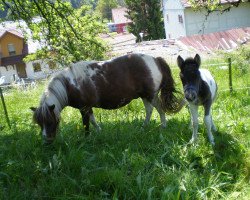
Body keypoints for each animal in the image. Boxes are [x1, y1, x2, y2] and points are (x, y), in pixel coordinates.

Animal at [30, 54, 184, 143]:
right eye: (39, 123)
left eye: (51, 121)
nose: (47, 141)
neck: (69, 85)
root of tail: (155, 59)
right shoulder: (88, 108)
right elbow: (93, 121)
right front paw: (99, 132)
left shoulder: (83, 108)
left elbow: (86, 124)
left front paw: (87, 138)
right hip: (145, 96)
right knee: (150, 110)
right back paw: (145, 127)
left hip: (150, 95)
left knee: (158, 108)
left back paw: (162, 126)